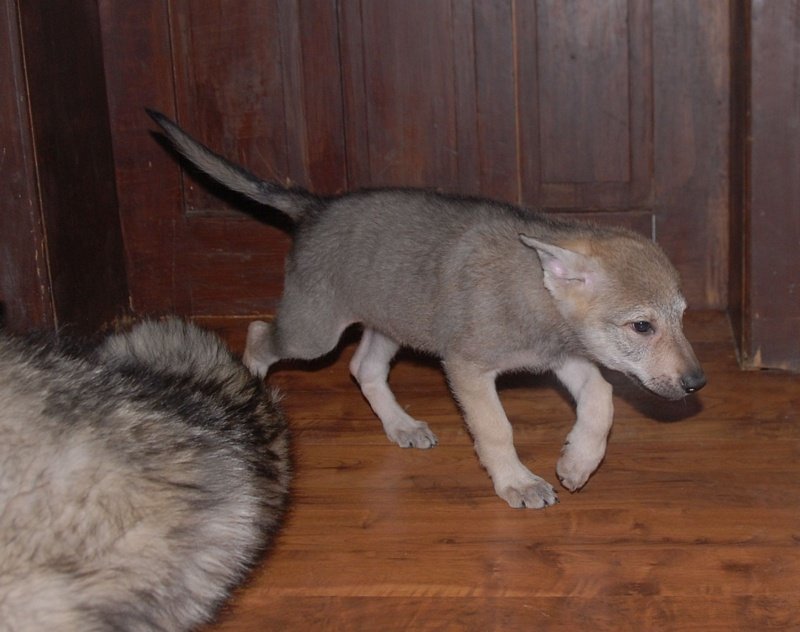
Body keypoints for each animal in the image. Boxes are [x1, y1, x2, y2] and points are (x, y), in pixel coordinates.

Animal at [148, 109, 705, 510]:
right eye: (641, 326)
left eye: (681, 315)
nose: (698, 383)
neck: (538, 289)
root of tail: (315, 206)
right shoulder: (468, 368)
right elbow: (496, 428)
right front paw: (517, 483)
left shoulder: (567, 357)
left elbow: (602, 400)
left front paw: (577, 463)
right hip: (314, 333)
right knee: (260, 334)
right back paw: (251, 396)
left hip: (388, 323)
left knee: (363, 368)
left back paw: (402, 426)